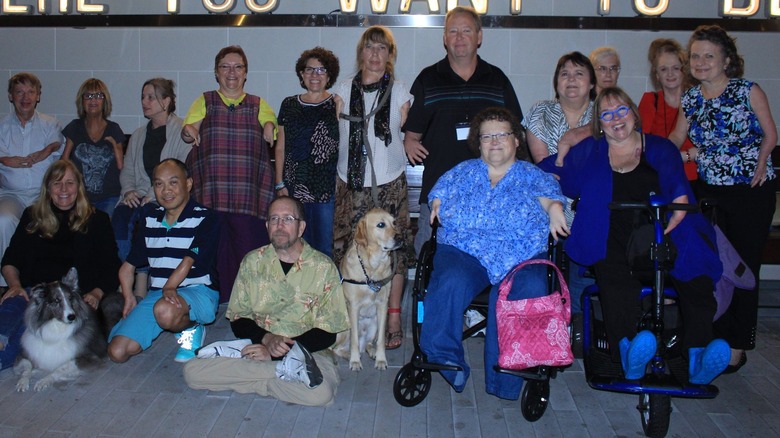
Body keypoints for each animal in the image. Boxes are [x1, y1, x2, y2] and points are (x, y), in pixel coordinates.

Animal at [332, 208, 400, 370]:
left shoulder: (383, 305)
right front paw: (355, 361)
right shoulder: (353, 306)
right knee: (337, 348)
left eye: (394, 222)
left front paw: (381, 359)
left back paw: (371, 352)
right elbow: (354, 340)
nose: (399, 238)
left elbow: (381, 340)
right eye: (381, 224)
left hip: (374, 324)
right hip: (344, 329)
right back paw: (349, 356)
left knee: (367, 344)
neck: (373, 267)